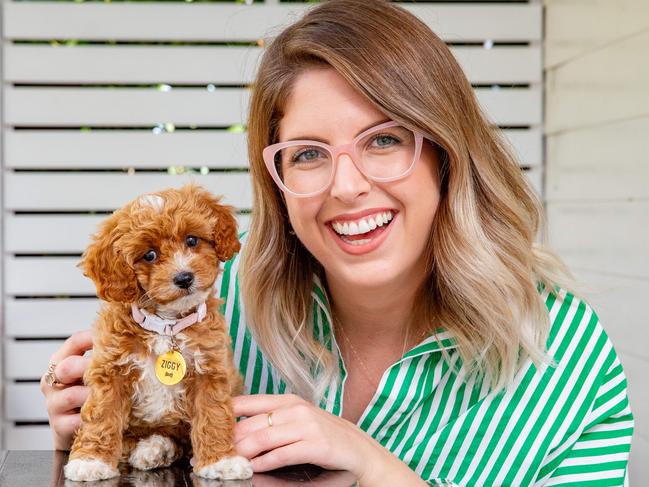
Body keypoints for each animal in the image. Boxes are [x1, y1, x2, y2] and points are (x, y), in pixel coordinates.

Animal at [63, 185, 251, 482]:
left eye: (191, 240)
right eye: (149, 255)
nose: (184, 278)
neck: (166, 326)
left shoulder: (210, 372)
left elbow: (213, 414)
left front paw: (221, 461)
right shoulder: (111, 371)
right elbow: (102, 416)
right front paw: (91, 461)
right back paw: (153, 449)